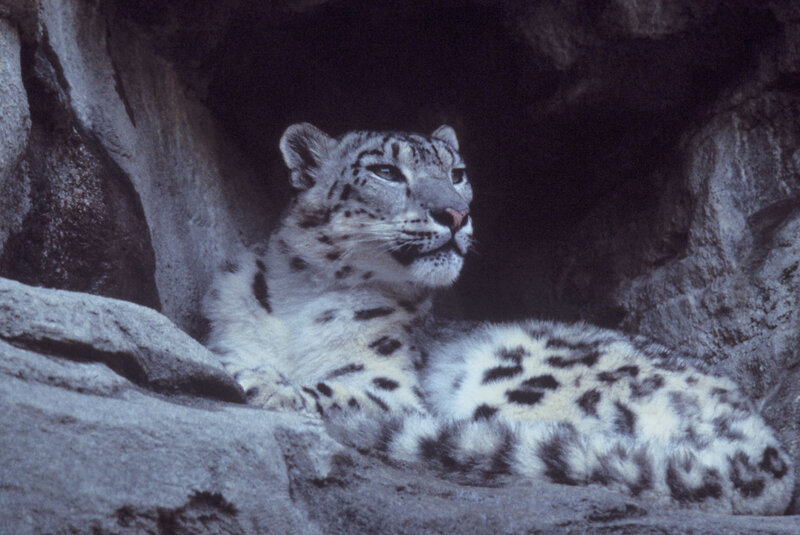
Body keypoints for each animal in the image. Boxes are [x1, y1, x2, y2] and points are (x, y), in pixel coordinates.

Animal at [203, 122, 794, 515]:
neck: (299, 296)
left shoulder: (386, 385)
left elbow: (332, 387)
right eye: (385, 171)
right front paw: (253, 372)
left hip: (513, 373)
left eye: (458, 172)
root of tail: (767, 443)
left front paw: (262, 383)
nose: (455, 213)